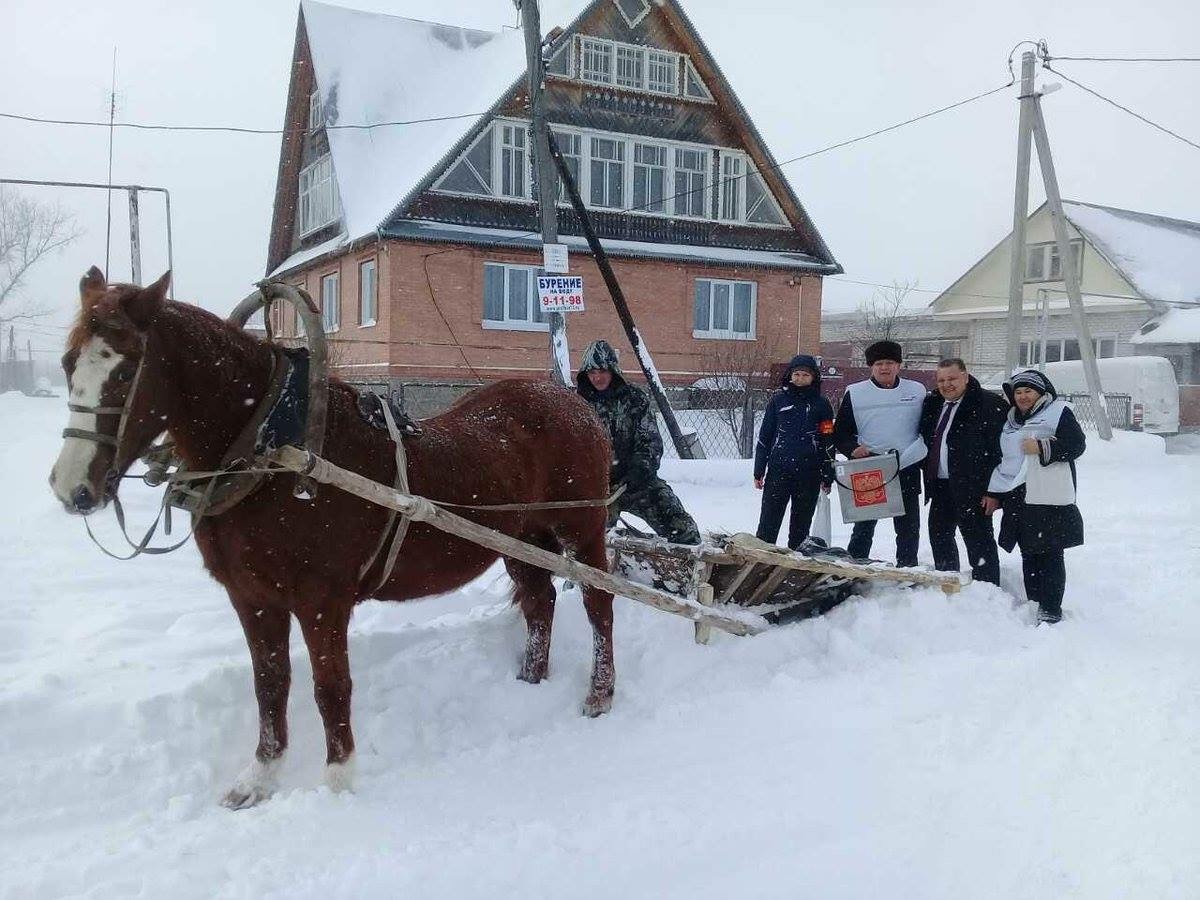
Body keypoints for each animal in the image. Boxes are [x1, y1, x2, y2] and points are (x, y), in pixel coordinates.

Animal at [48, 267, 619, 811]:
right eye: (68, 364)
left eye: (126, 370)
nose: (72, 488)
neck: (272, 450)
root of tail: (572, 402)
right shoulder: (252, 598)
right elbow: (270, 683)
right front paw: (260, 777)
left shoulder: (321, 602)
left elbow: (331, 687)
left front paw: (339, 782)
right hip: (521, 537)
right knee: (540, 602)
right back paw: (530, 680)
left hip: (581, 529)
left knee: (598, 604)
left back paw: (600, 694)